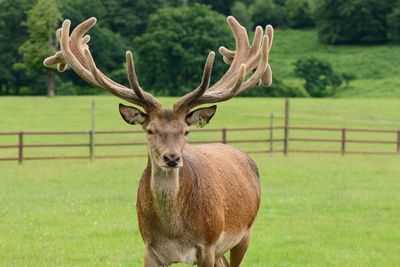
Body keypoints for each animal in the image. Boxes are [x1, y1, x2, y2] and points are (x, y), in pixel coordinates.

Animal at [44, 15, 276, 266]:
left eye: (185, 131)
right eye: (150, 130)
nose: (172, 158)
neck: (175, 233)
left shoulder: (208, 245)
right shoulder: (149, 247)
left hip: (244, 233)